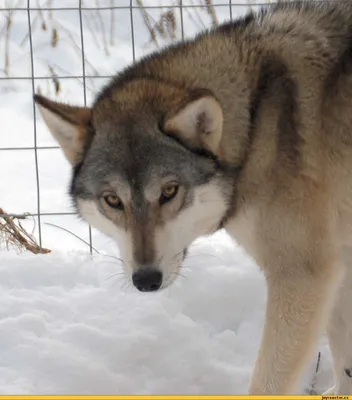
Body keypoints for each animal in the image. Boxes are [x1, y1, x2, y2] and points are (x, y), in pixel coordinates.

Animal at [33, 0, 352, 394]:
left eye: (169, 192)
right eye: (113, 201)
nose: (146, 281)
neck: (256, 120)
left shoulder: (304, 273)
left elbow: (267, 382)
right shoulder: (336, 262)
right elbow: (344, 358)